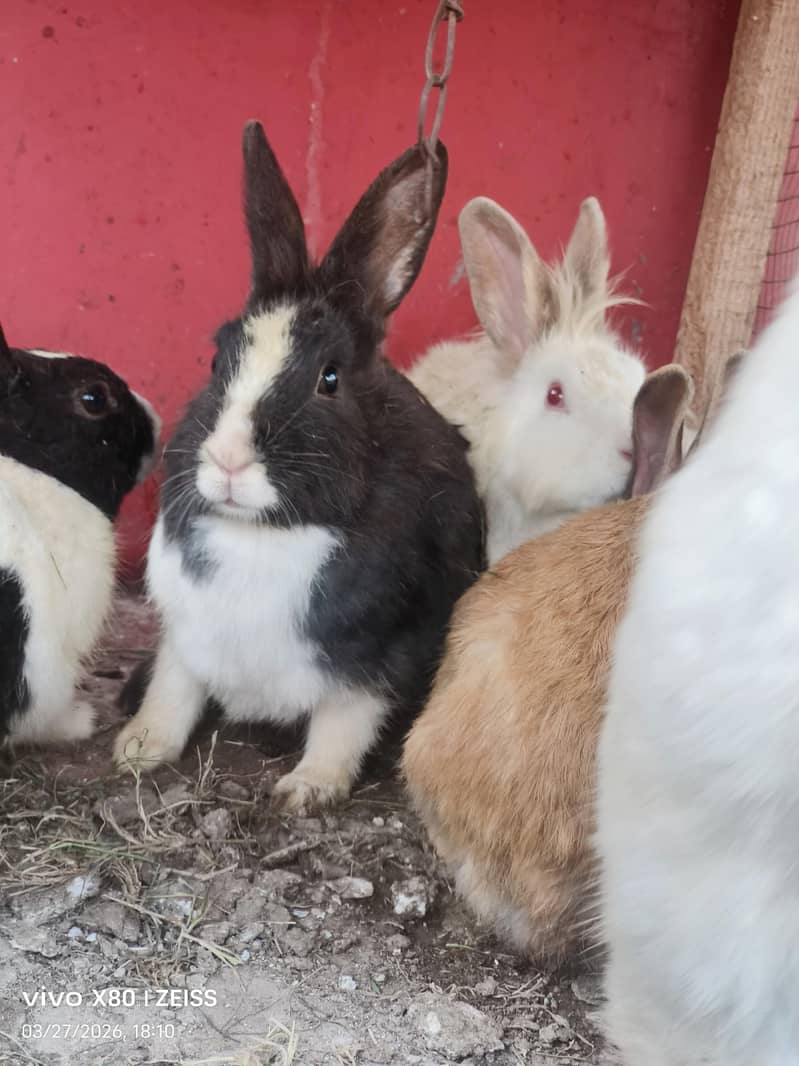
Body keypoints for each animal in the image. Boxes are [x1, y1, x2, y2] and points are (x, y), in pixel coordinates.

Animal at [114, 121, 484, 814]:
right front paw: (137, 750)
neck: (264, 534)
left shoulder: (375, 657)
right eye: (217, 361)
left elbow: (345, 723)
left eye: (329, 379)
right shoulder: (185, 635)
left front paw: (307, 789)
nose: (229, 460)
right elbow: (173, 691)